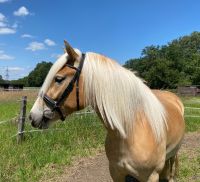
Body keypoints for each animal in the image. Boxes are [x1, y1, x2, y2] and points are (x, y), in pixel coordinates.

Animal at [28, 41, 185, 182]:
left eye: (59, 79)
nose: (32, 116)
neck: (130, 132)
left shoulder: (150, 177)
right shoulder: (116, 173)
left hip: (174, 152)